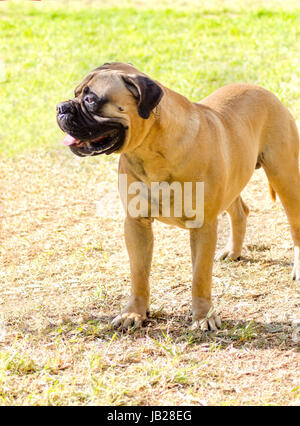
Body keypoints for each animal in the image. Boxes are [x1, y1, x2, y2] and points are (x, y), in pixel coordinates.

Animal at [56, 61, 300, 332]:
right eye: (76, 93)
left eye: (90, 99)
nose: (61, 108)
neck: (150, 150)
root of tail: (264, 91)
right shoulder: (136, 223)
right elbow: (138, 274)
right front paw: (135, 312)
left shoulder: (203, 226)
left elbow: (200, 277)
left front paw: (203, 316)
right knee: (239, 211)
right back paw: (233, 251)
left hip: (285, 177)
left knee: (294, 225)